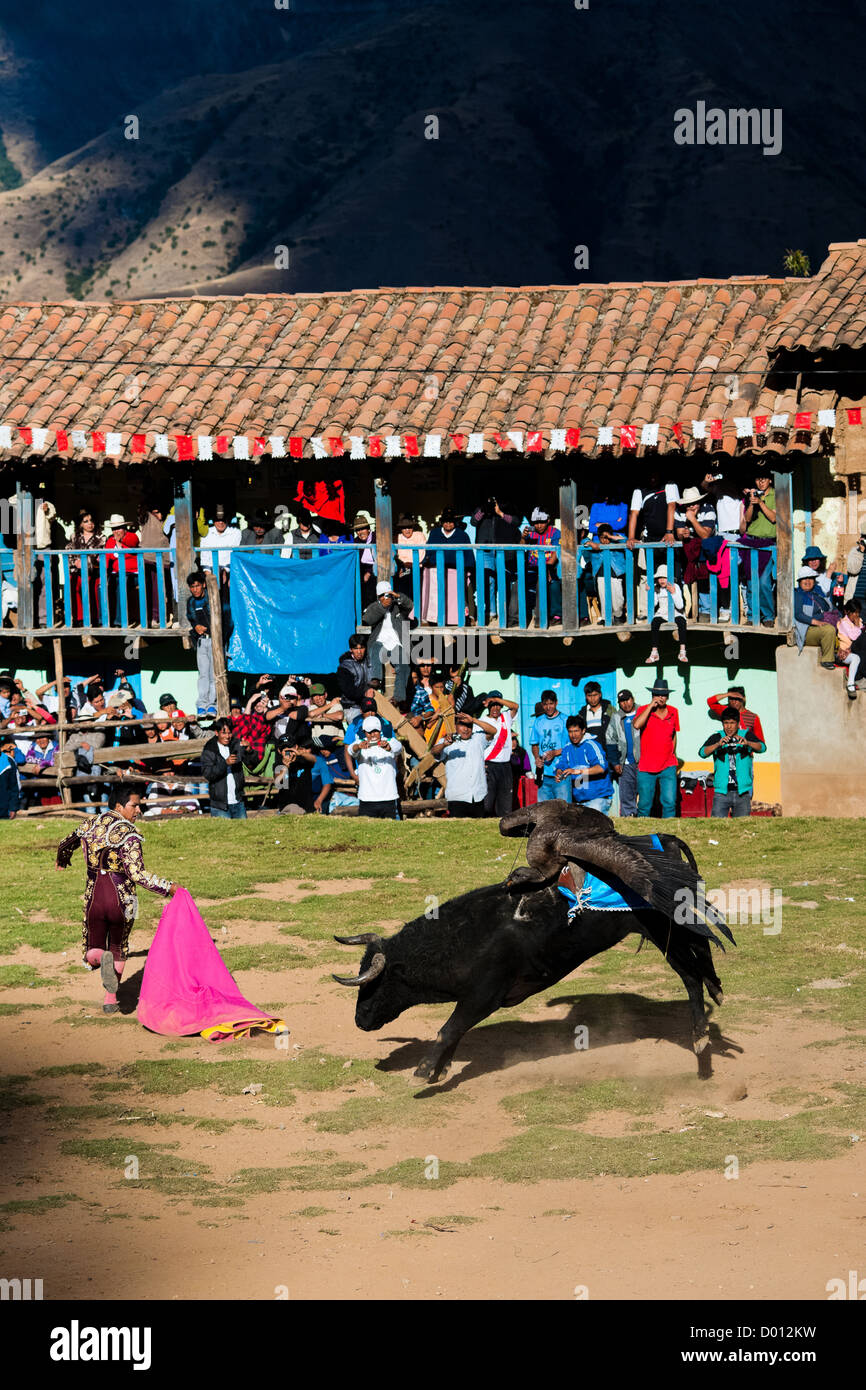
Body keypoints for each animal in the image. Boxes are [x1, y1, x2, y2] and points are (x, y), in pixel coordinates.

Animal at [335, 872, 728, 1078]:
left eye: (375, 982)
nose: (359, 1019)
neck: (462, 937)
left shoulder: (484, 995)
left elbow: (449, 1028)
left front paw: (424, 1070)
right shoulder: (475, 999)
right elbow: (455, 1032)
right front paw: (440, 1069)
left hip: (663, 933)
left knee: (691, 973)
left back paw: (701, 1041)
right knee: (699, 954)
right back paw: (715, 997)